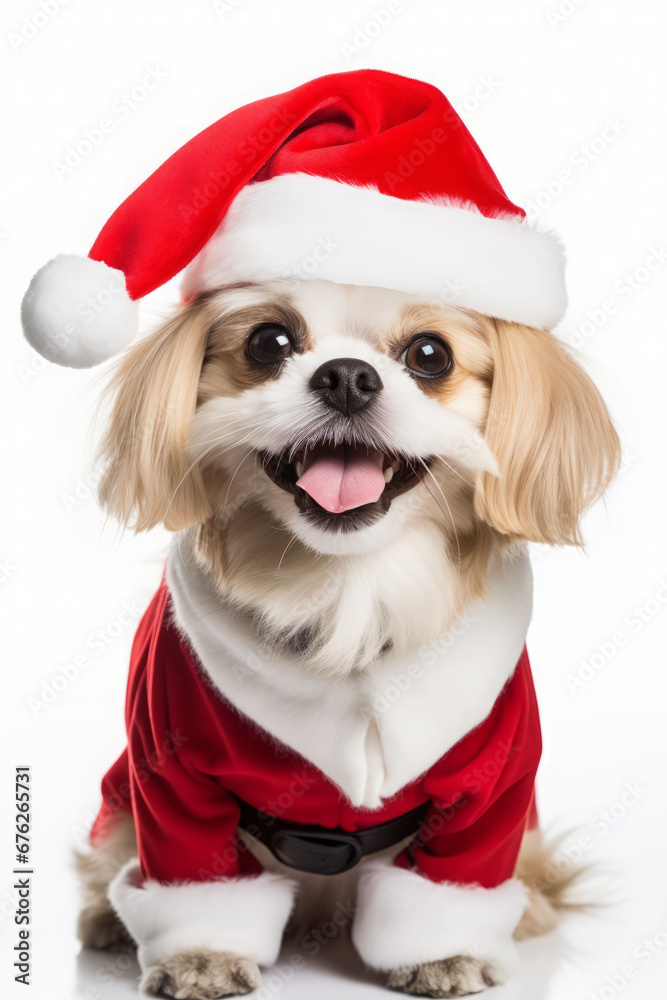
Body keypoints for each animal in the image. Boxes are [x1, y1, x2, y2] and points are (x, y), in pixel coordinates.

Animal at [20, 72, 624, 1000]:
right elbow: (195, 872)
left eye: (429, 355)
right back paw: (109, 919)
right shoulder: (167, 770)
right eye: (269, 342)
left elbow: (455, 876)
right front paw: (200, 954)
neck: (349, 585)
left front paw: (443, 952)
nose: (344, 375)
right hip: (119, 799)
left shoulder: (494, 781)